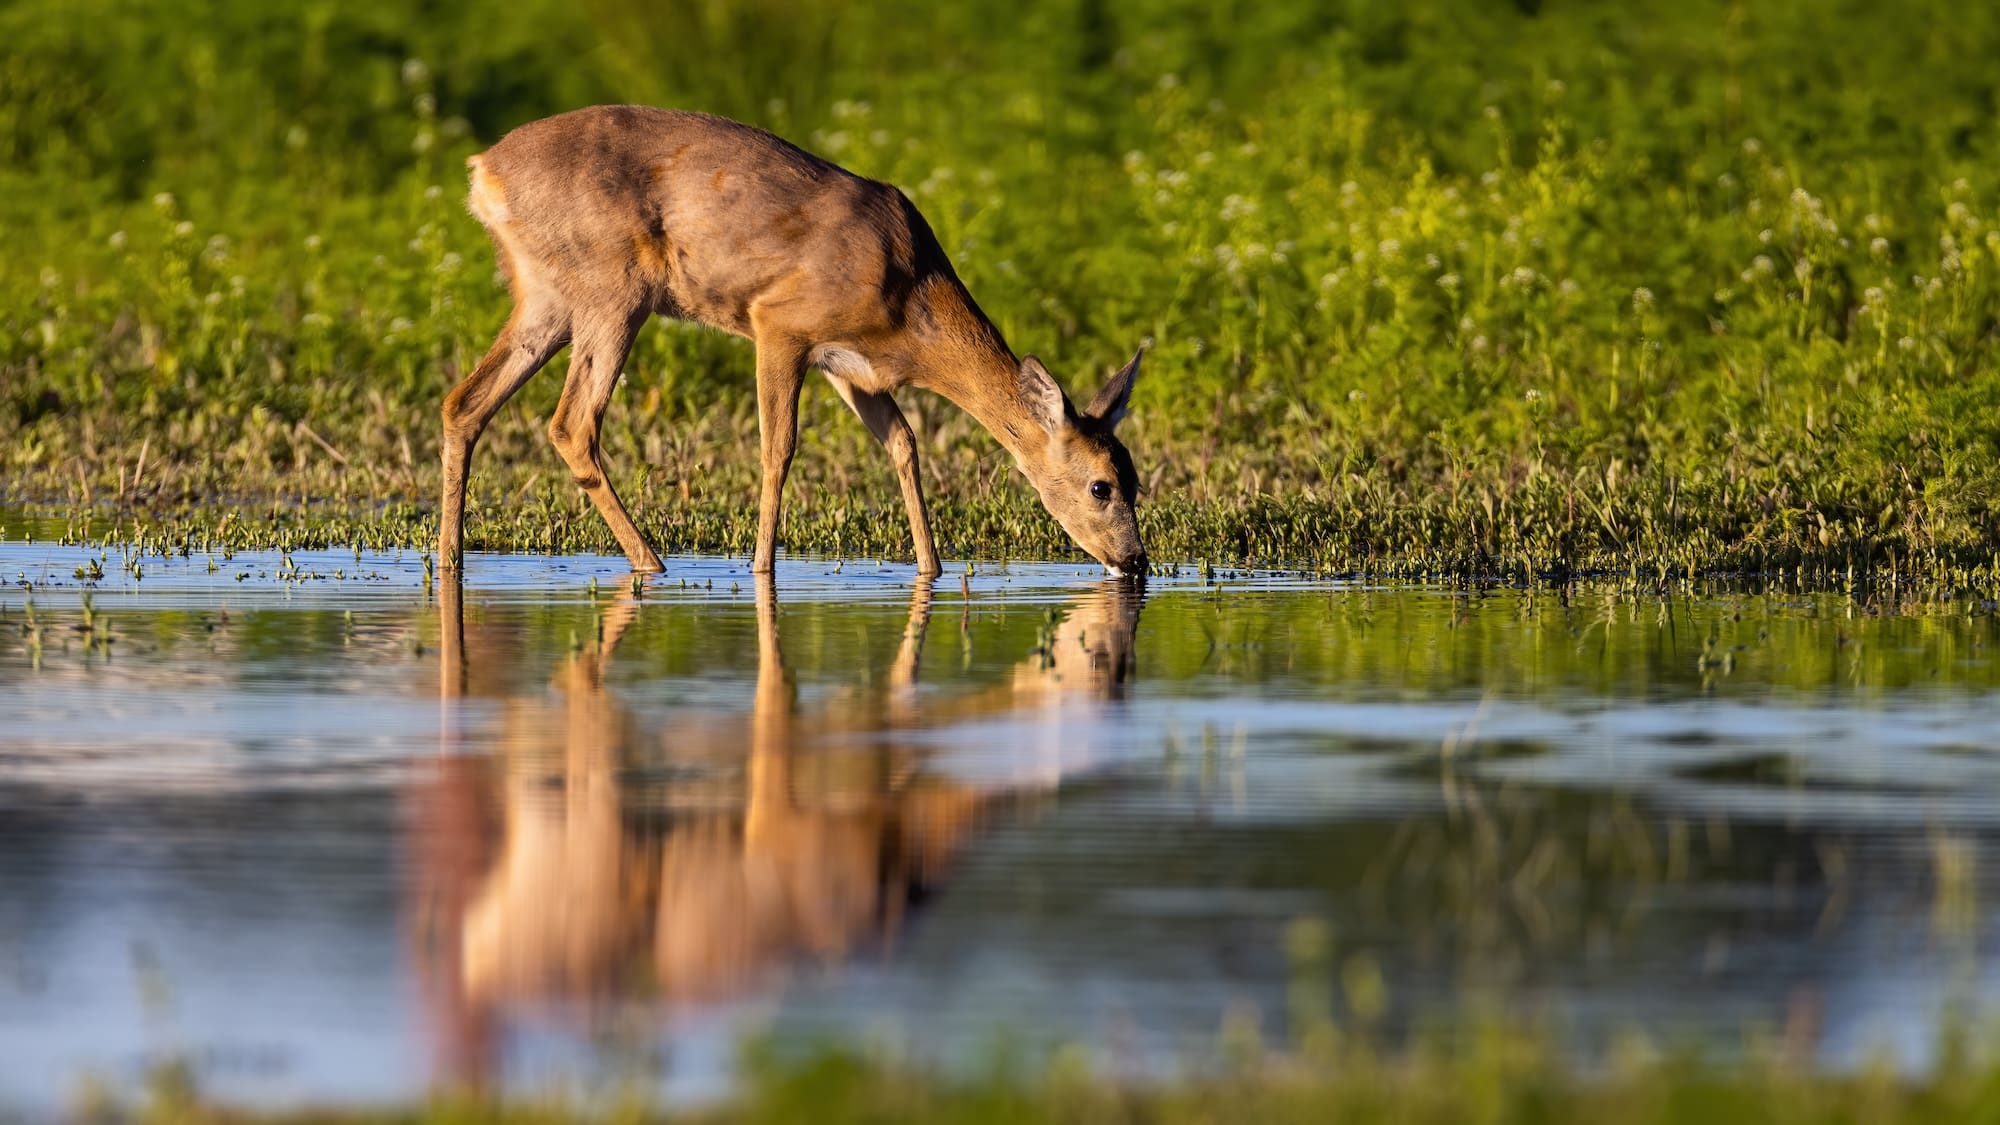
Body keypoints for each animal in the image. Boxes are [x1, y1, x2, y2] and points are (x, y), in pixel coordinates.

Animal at [440, 104, 1152, 572]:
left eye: (1136, 478)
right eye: (1101, 485)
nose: (1136, 561)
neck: (910, 296)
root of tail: (482, 170)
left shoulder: (851, 367)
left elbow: (904, 443)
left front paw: (932, 570)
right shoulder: (780, 323)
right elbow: (777, 448)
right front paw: (763, 570)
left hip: (546, 296)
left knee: (464, 402)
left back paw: (448, 562)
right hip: (613, 291)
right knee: (571, 423)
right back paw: (654, 566)